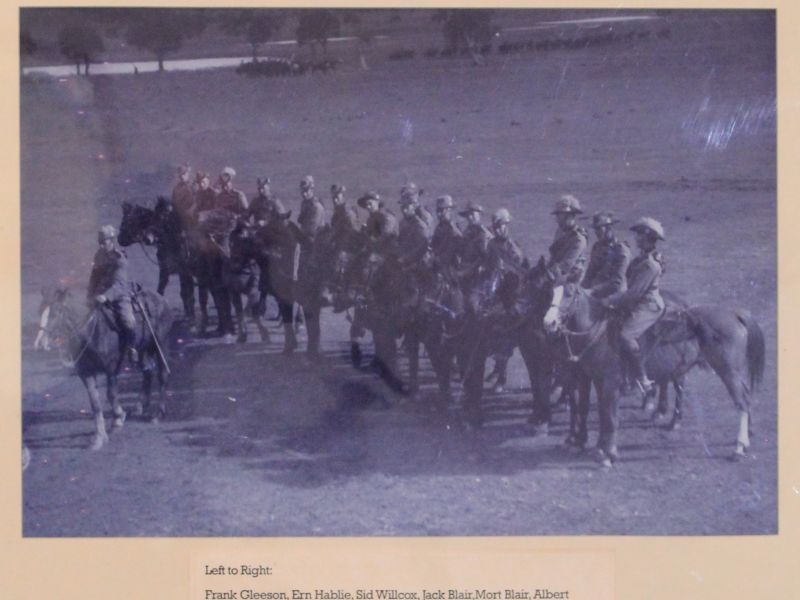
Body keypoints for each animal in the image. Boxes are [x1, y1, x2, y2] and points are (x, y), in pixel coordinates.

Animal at [39, 286, 173, 450]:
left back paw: (158, 414)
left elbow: (111, 394)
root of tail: (162, 299)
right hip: (142, 349)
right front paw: (99, 438)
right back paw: (141, 405)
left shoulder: (111, 368)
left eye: (56, 312)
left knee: (162, 375)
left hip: (161, 344)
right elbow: (95, 403)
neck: (92, 332)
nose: (43, 341)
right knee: (148, 371)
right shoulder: (86, 372)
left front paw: (118, 419)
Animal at [544, 284, 764, 464]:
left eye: (568, 294)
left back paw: (738, 448)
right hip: (732, 372)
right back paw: (747, 436)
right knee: (746, 396)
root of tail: (734, 313)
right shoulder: (595, 380)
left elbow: (611, 417)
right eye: (551, 293)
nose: (548, 323)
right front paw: (599, 448)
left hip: (728, 371)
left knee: (741, 402)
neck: (599, 332)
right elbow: (602, 414)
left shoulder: (610, 384)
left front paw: (609, 454)